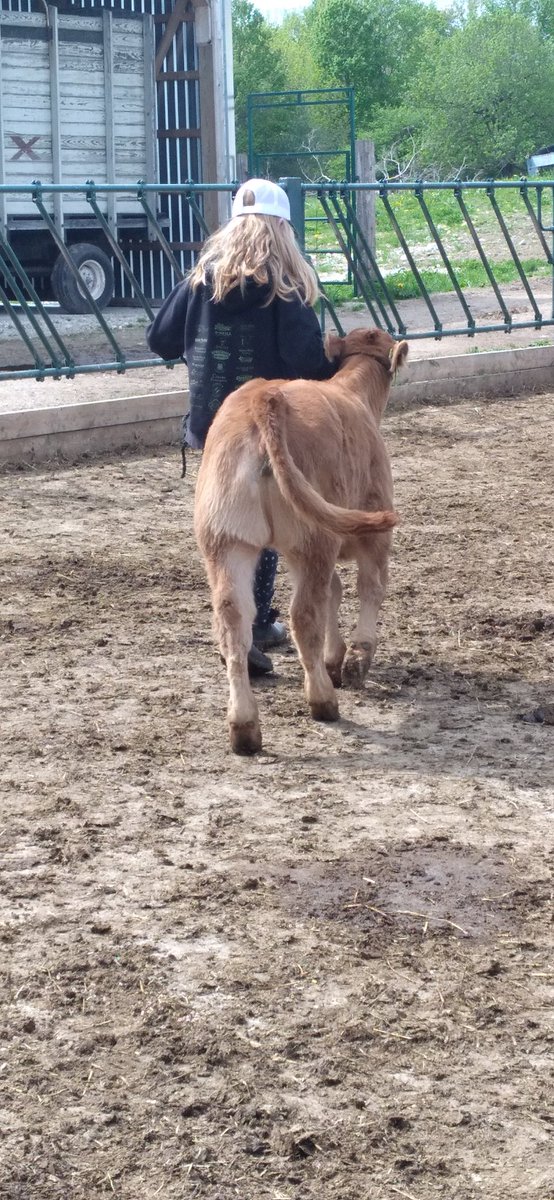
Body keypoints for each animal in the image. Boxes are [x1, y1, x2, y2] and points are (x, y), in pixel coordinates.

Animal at [194, 326, 409, 755]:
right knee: (304, 614)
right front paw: (356, 658)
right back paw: (323, 700)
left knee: (232, 620)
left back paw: (244, 727)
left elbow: (335, 592)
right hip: (313, 539)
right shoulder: (374, 528)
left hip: (227, 541)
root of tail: (264, 398)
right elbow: (368, 587)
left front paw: (335, 656)